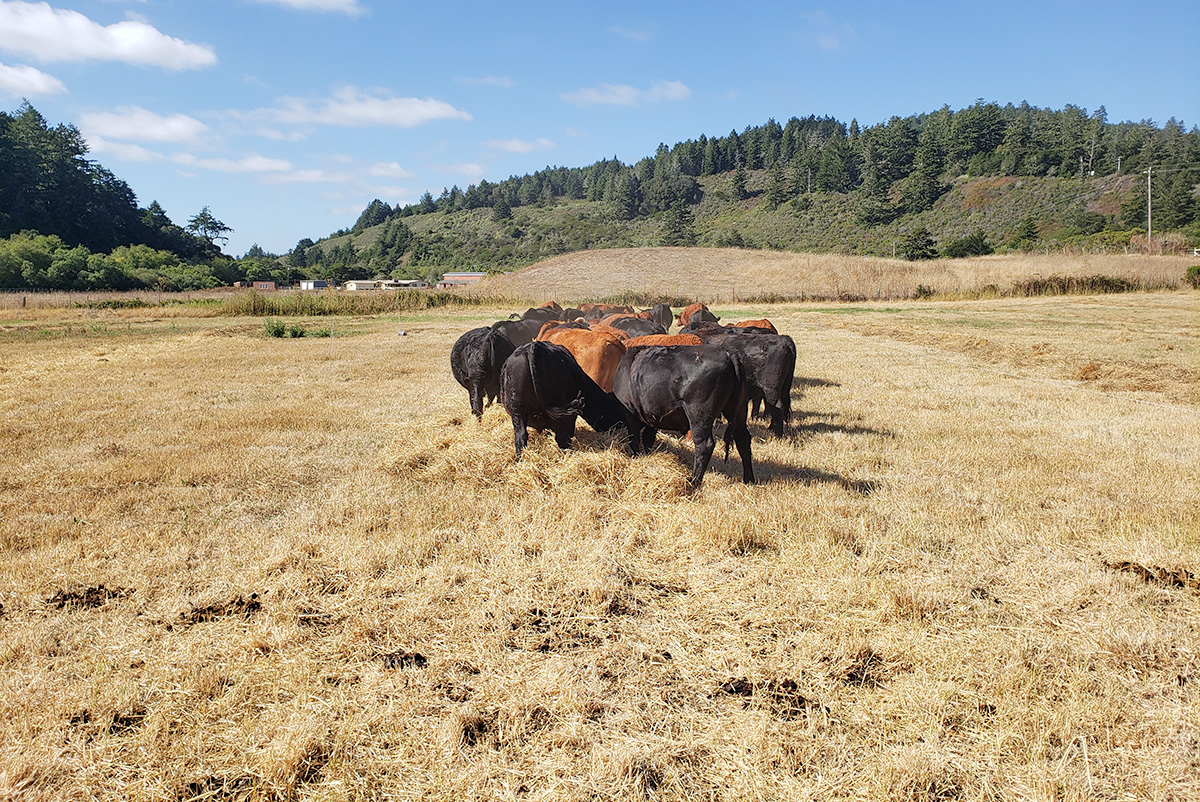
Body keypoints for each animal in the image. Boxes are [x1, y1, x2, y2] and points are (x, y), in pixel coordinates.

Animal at [499, 340, 633, 461]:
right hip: (562, 414)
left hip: (517, 410)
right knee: (562, 438)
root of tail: (534, 347)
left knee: (521, 437)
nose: (620, 426)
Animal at [614, 340, 753, 485]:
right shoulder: (653, 416)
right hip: (739, 410)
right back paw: (749, 480)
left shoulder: (631, 412)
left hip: (699, 414)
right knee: (743, 439)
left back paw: (694, 482)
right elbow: (648, 438)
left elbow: (634, 438)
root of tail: (726, 352)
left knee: (705, 445)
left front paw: (636, 457)